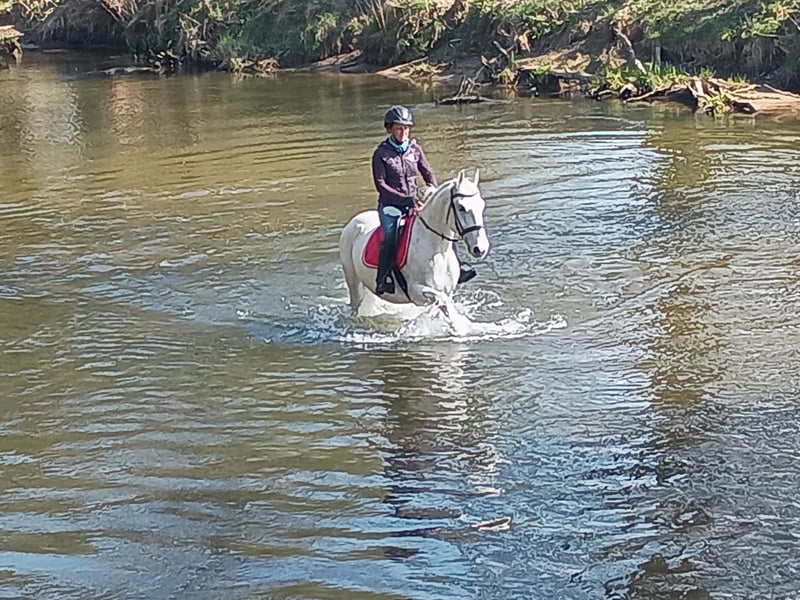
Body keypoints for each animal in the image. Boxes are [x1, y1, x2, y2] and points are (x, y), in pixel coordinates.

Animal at [339, 169, 490, 316]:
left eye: (481, 205)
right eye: (461, 207)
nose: (480, 248)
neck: (437, 250)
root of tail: (354, 221)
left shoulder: (447, 291)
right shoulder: (416, 291)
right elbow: (443, 302)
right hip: (354, 282)